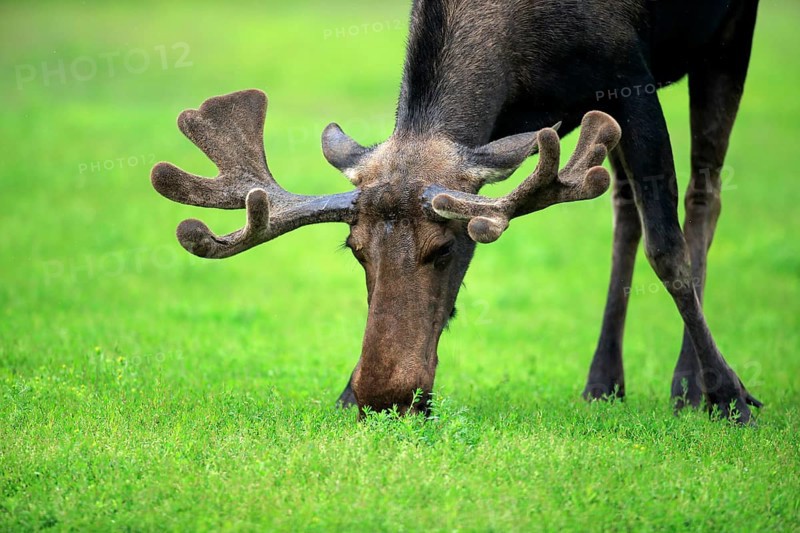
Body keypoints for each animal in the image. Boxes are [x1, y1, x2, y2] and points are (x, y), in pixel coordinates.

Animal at [151, 0, 762, 423]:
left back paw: (691, 384)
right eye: (355, 252)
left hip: (728, 38)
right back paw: (603, 381)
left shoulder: (630, 75)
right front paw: (346, 392)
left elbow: (669, 250)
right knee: (624, 210)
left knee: (703, 197)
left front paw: (729, 396)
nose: (383, 395)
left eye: (443, 248)